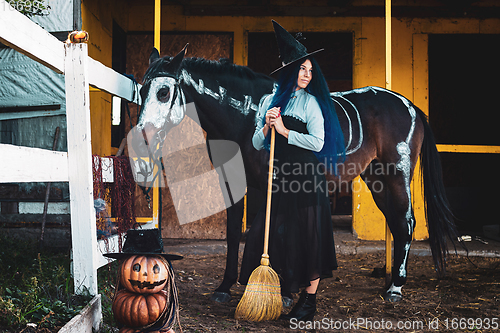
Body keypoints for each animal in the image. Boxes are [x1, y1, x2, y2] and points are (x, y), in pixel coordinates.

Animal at [135, 47, 458, 304]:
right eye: (141, 91)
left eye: (163, 92)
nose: (142, 139)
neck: (247, 116)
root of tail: (410, 106)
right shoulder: (233, 182)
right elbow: (233, 234)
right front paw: (225, 287)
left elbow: (279, 229)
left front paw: (286, 292)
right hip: (376, 177)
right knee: (397, 223)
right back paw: (389, 282)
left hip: (396, 174)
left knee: (406, 222)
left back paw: (396, 288)